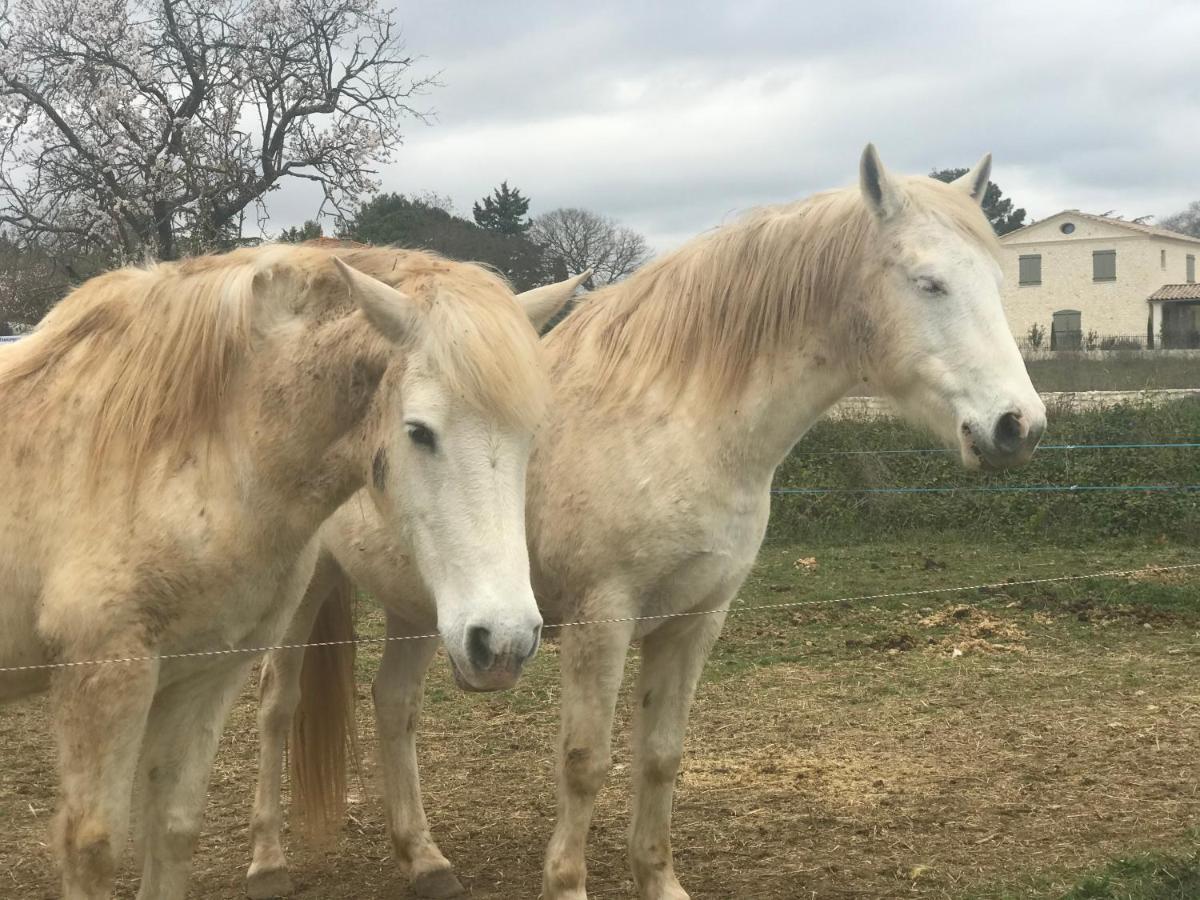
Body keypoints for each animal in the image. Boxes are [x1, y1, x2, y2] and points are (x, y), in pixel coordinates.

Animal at [0, 241, 580, 900]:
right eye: (418, 431)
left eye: (531, 435)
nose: (504, 641)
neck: (172, 450)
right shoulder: (102, 678)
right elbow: (93, 849)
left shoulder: (203, 675)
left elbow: (173, 826)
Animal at [248, 144, 1046, 897]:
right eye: (929, 283)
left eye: (997, 280)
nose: (1019, 426)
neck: (678, 422)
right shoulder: (602, 618)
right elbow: (585, 760)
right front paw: (566, 884)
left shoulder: (696, 620)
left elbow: (661, 756)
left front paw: (659, 879)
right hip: (305, 594)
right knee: (277, 704)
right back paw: (267, 862)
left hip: (426, 605)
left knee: (394, 707)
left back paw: (425, 860)